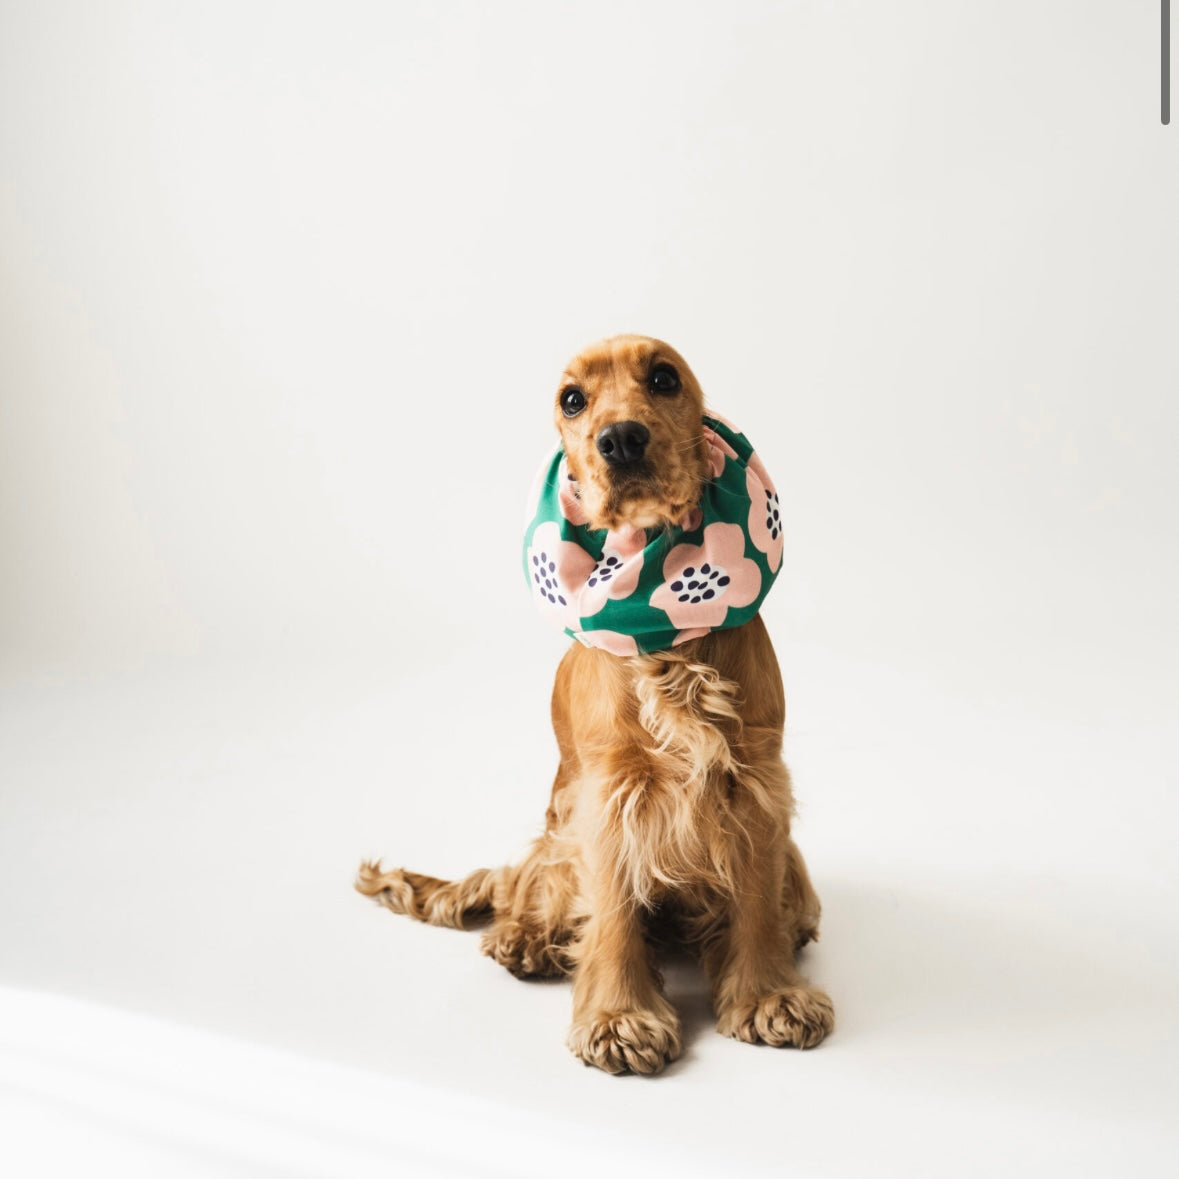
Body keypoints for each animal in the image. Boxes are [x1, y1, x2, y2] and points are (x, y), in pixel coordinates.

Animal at [353, 337, 834, 1075]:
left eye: (664, 378)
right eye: (573, 400)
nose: (621, 438)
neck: (663, 624)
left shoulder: (754, 778)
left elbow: (754, 897)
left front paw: (767, 996)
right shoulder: (610, 793)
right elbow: (610, 911)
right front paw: (619, 1017)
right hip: (556, 840)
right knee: (530, 892)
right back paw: (525, 939)